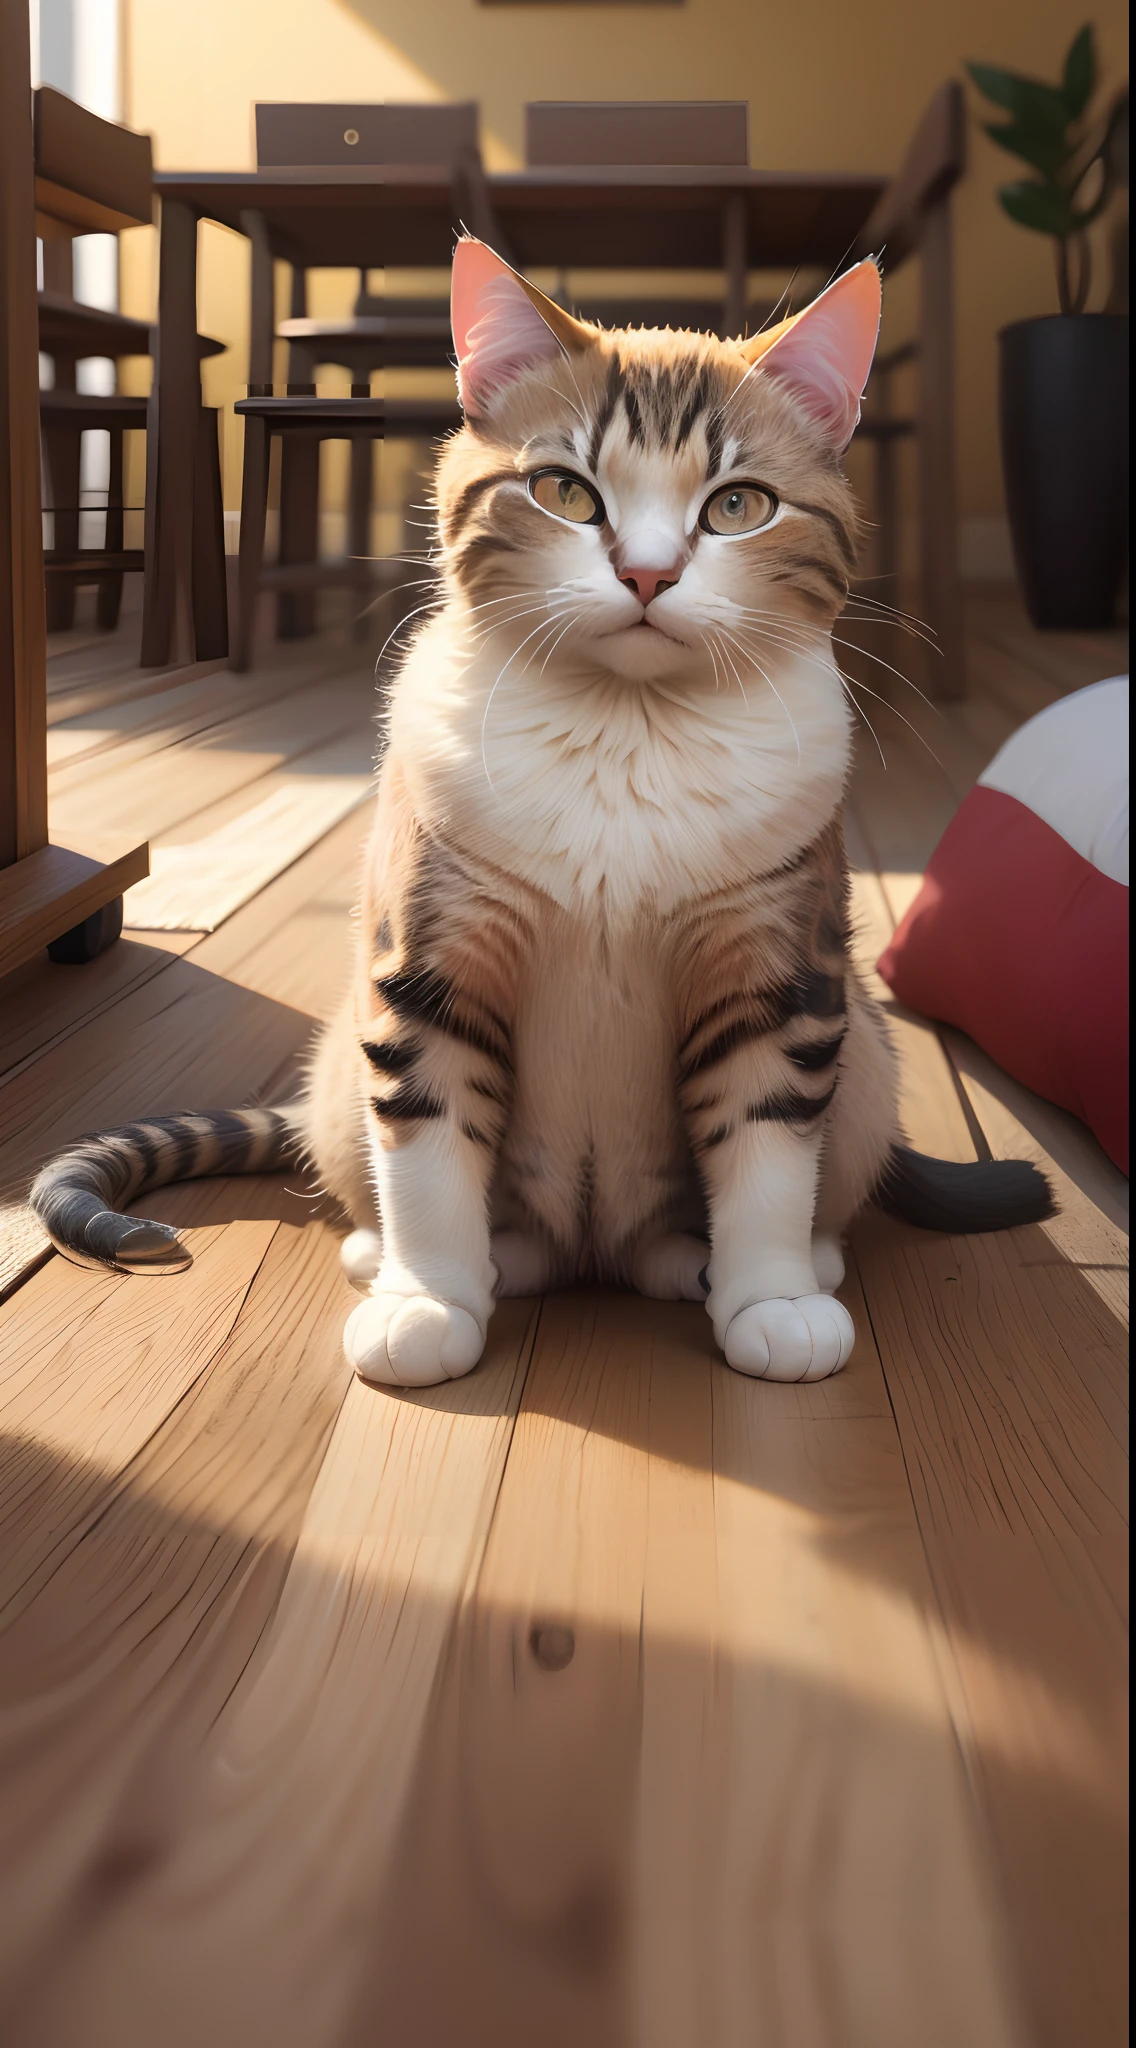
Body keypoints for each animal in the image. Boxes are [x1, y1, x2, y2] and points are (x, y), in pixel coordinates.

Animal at [26, 243, 1056, 1392]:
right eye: (564, 490)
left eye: (738, 506)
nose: (647, 573)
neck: (627, 734)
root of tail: (593, 1249)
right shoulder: (427, 962)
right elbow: (426, 1139)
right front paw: (426, 1299)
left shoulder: (777, 974)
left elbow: (767, 1144)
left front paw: (773, 1297)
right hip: (342, 1055)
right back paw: (418, 1255)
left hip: (866, 1059)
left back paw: (753, 1261)